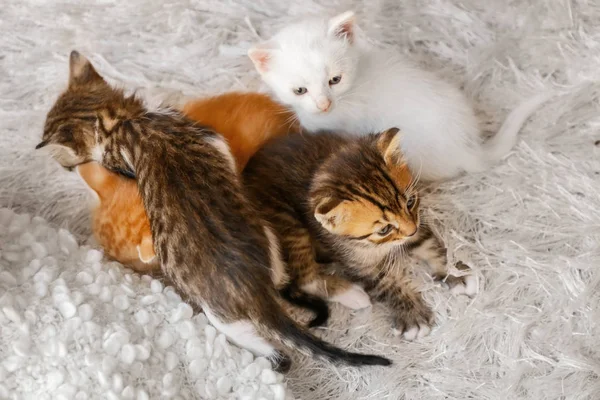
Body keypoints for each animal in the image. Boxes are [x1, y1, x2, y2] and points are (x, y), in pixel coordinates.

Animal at [244, 129, 478, 340]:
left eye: (410, 202)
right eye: (384, 229)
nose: (411, 230)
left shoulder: (417, 225)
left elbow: (432, 246)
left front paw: (454, 274)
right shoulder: (358, 262)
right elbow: (386, 283)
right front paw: (412, 316)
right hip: (288, 225)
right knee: (304, 279)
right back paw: (352, 294)